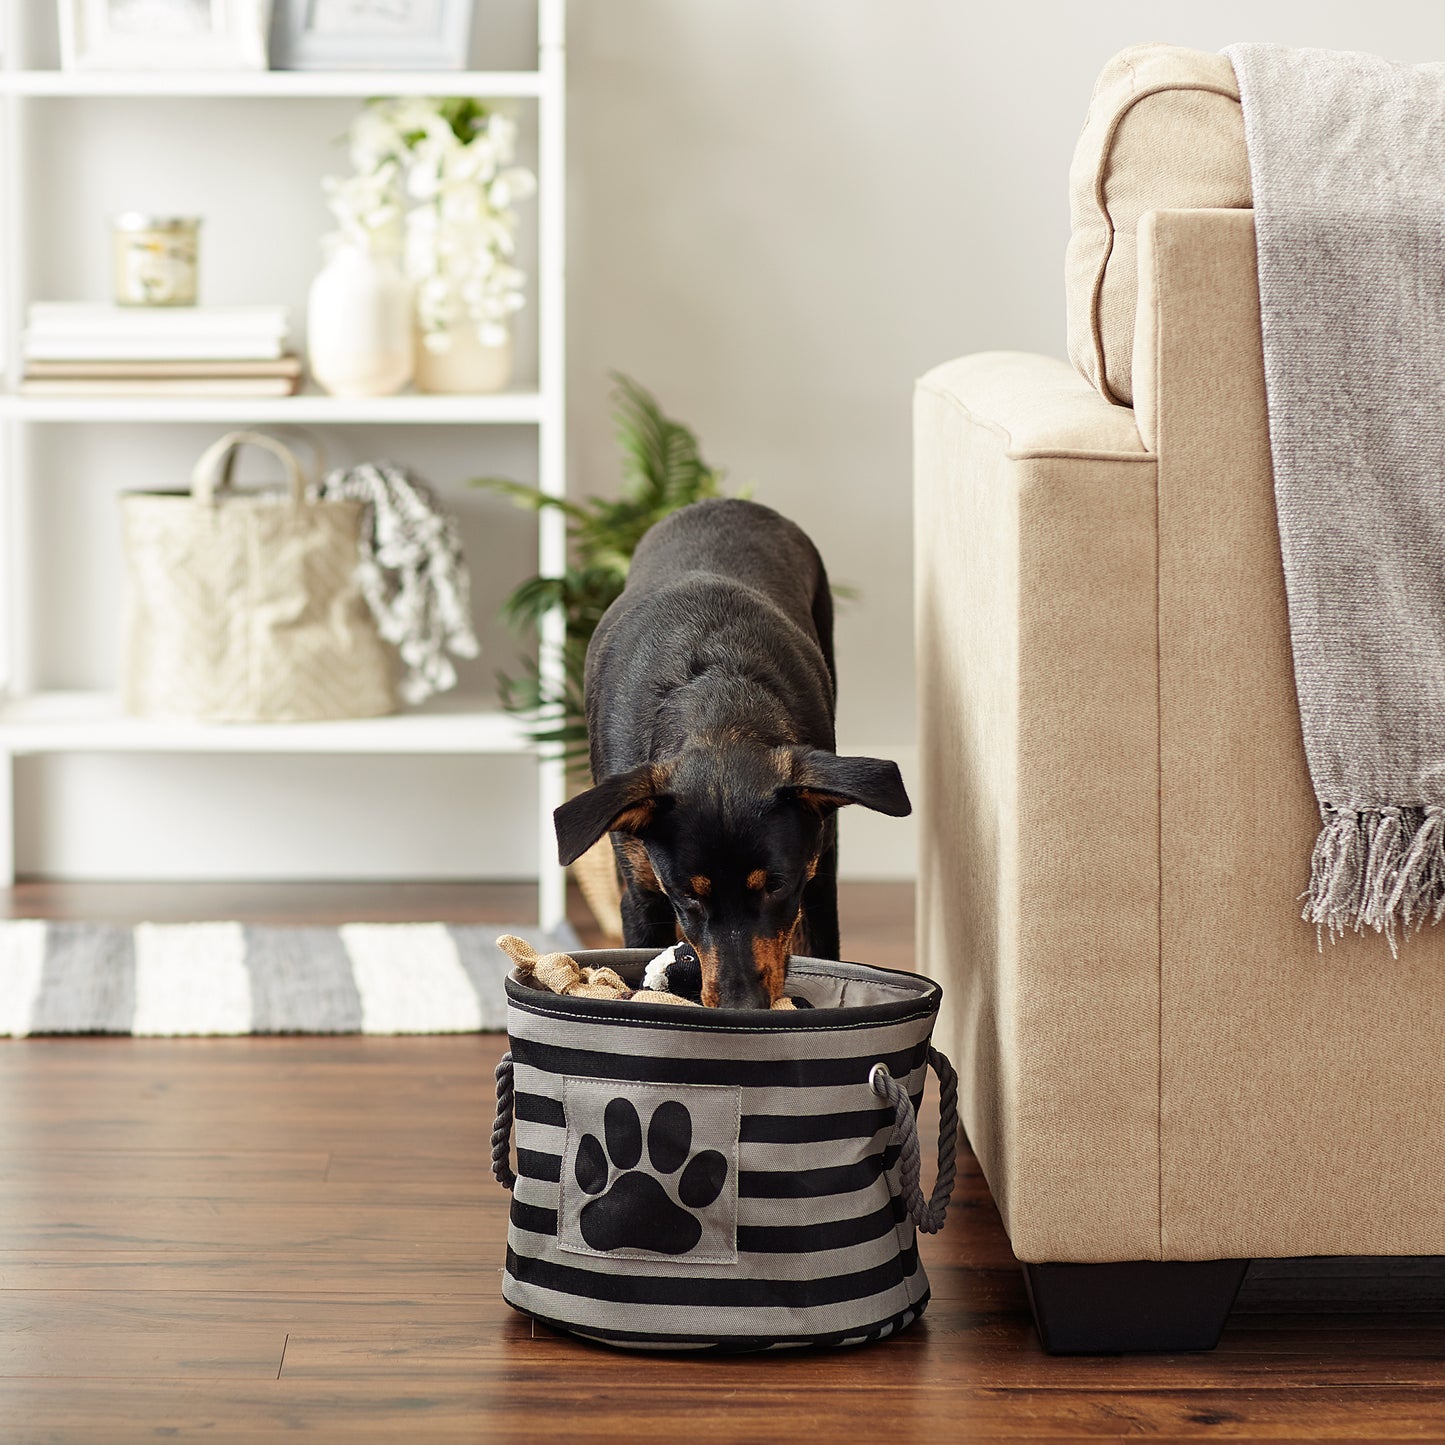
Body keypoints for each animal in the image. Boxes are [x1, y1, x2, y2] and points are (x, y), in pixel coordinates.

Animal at [546, 497, 907, 1005]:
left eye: (777, 886)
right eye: (688, 897)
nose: (743, 1007)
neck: (720, 716)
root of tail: (724, 502)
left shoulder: (817, 876)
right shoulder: (641, 893)